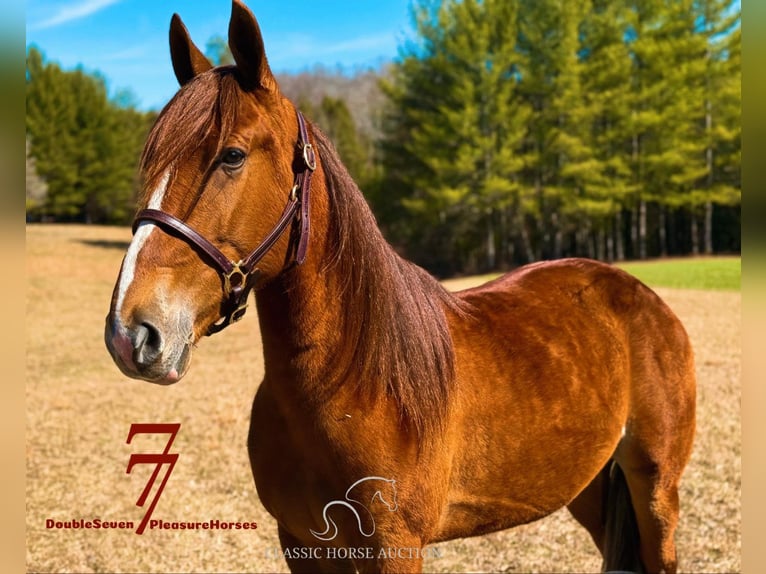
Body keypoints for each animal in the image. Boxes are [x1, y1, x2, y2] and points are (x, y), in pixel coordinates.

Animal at [105, 2, 700, 572]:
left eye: (231, 155)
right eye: (152, 160)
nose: (131, 333)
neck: (353, 383)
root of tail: (641, 297)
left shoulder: (395, 547)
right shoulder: (302, 543)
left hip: (655, 490)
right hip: (588, 487)